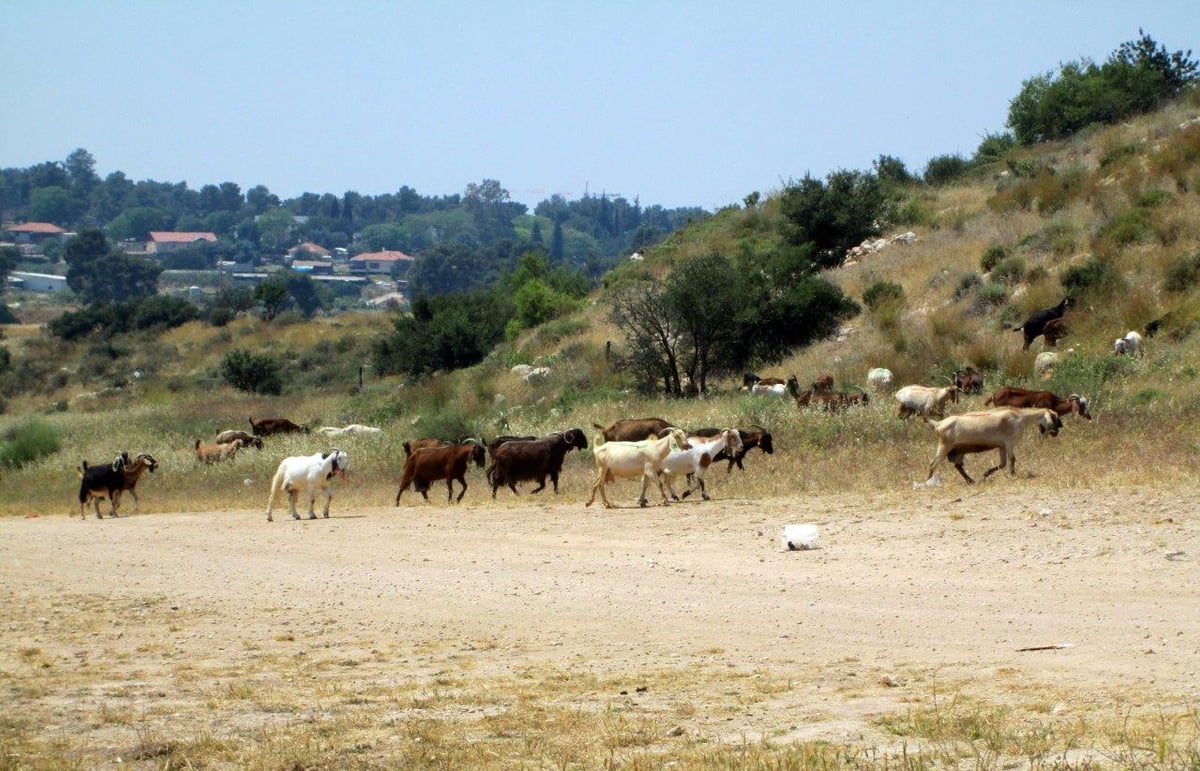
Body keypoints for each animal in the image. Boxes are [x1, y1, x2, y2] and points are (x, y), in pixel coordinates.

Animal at [921, 405, 1065, 482]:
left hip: (959, 450)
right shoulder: (1009, 443)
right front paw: (1013, 474)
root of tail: (938, 424)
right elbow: (1012, 459)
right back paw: (928, 481)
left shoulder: (1002, 446)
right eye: (1055, 417)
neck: (1020, 417)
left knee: (958, 466)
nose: (1058, 430)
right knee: (932, 464)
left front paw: (986, 473)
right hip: (945, 446)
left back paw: (970, 480)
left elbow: (1003, 464)